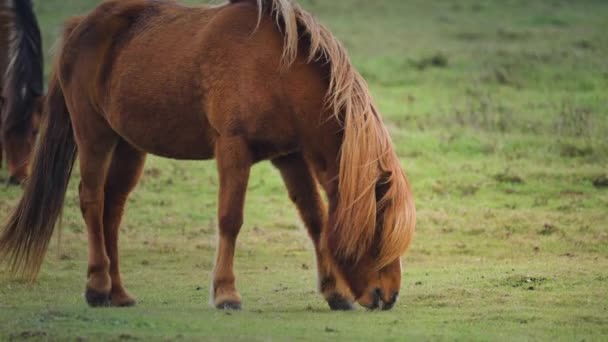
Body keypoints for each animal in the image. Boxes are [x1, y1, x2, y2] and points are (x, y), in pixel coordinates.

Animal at [0, 0, 416, 310]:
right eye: (380, 227)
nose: (390, 295)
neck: (279, 70)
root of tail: (80, 26)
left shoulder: (290, 156)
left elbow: (316, 219)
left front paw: (334, 292)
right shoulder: (234, 147)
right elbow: (230, 219)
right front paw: (226, 293)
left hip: (129, 145)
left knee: (111, 209)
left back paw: (118, 292)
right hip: (94, 136)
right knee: (91, 201)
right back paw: (98, 287)